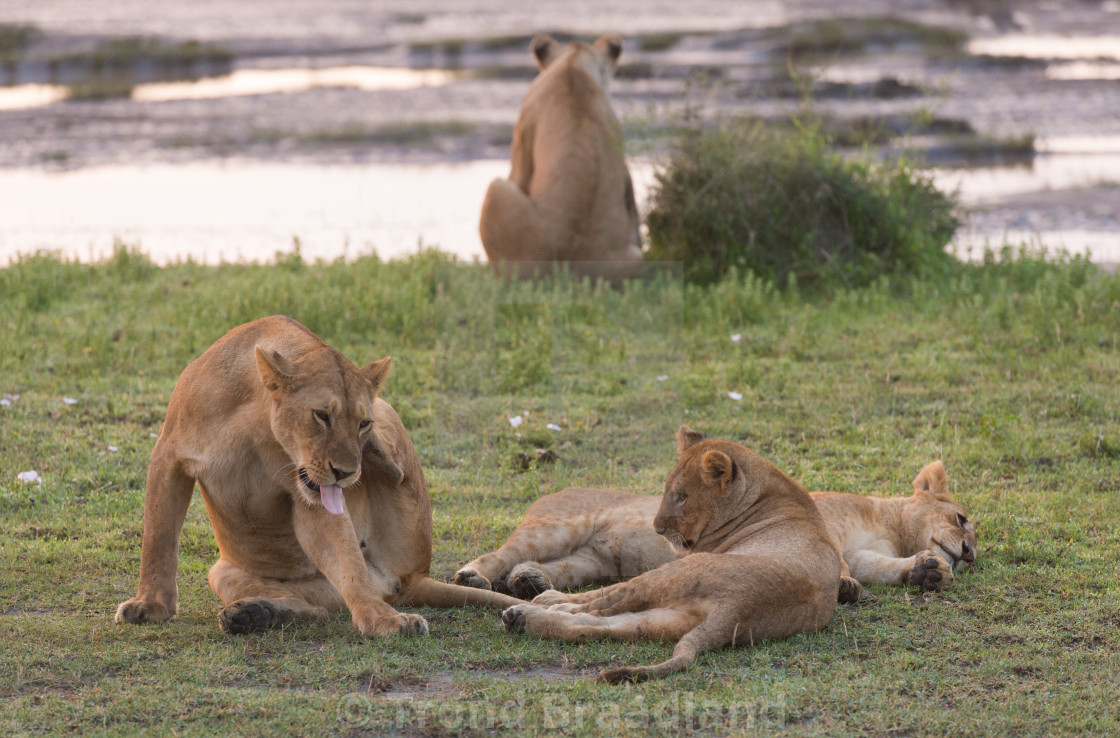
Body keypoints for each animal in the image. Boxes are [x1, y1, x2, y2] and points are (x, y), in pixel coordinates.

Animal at [115, 315, 526, 636]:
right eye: (322, 416)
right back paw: (252, 614)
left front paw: (382, 622)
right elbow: (158, 537)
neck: (254, 426)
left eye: (362, 423)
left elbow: (345, 559)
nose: (346, 472)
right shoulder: (168, 456)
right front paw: (149, 605)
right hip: (223, 572)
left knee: (355, 577)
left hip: (390, 427)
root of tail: (411, 581)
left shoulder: (310, 497)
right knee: (317, 611)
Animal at [459, 465, 976, 604]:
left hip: (589, 561)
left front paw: (927, 572)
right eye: (962, 518)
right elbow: (845, 564)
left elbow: (882, 567)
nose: (970, 553)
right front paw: (846, 586)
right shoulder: (820, 527)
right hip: (559, 527)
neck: (887, 524)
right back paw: (473, 577)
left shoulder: (872, 552)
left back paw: (530, 583)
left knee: (544, 567)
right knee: (501, 553)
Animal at [499, 427, 842, 685]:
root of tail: (740, 607)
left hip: (676, 573)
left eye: (682, 497)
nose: (657, 529)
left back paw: (543, 603)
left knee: (601, 602)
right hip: (670, 619)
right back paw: (523, 619)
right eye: (667, 490)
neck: (766, 494)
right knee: (594, 626)